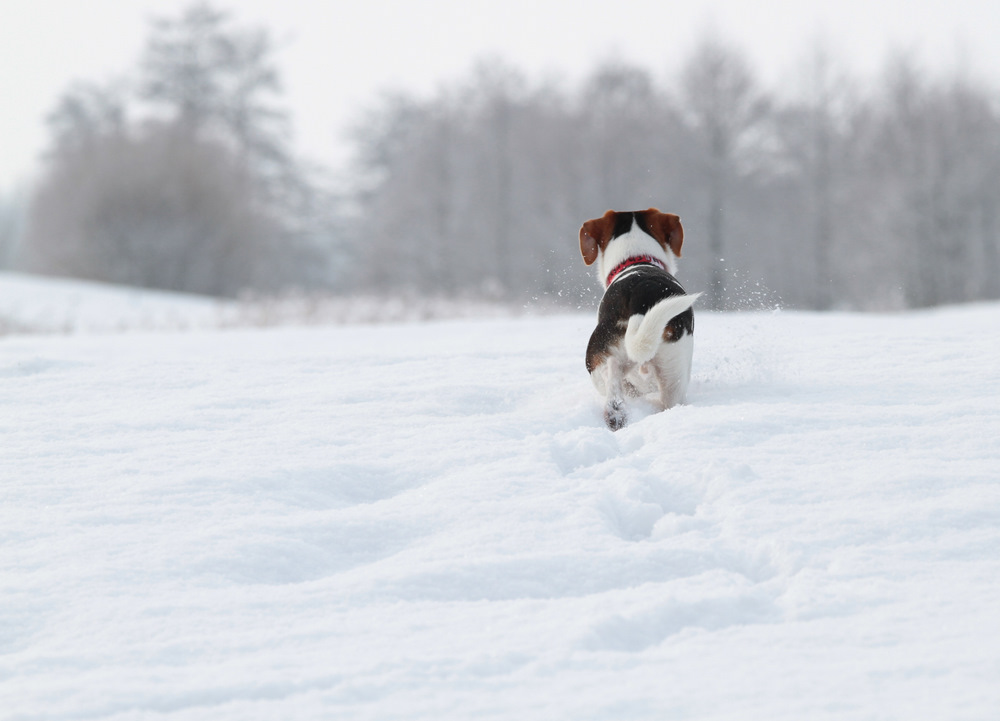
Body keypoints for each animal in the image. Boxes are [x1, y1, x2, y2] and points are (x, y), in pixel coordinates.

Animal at [580, 210, 704, 434]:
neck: (635, 259)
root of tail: (639, 296)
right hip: (673, 372)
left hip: (597, 358)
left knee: (613, 385)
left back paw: (616, 412)